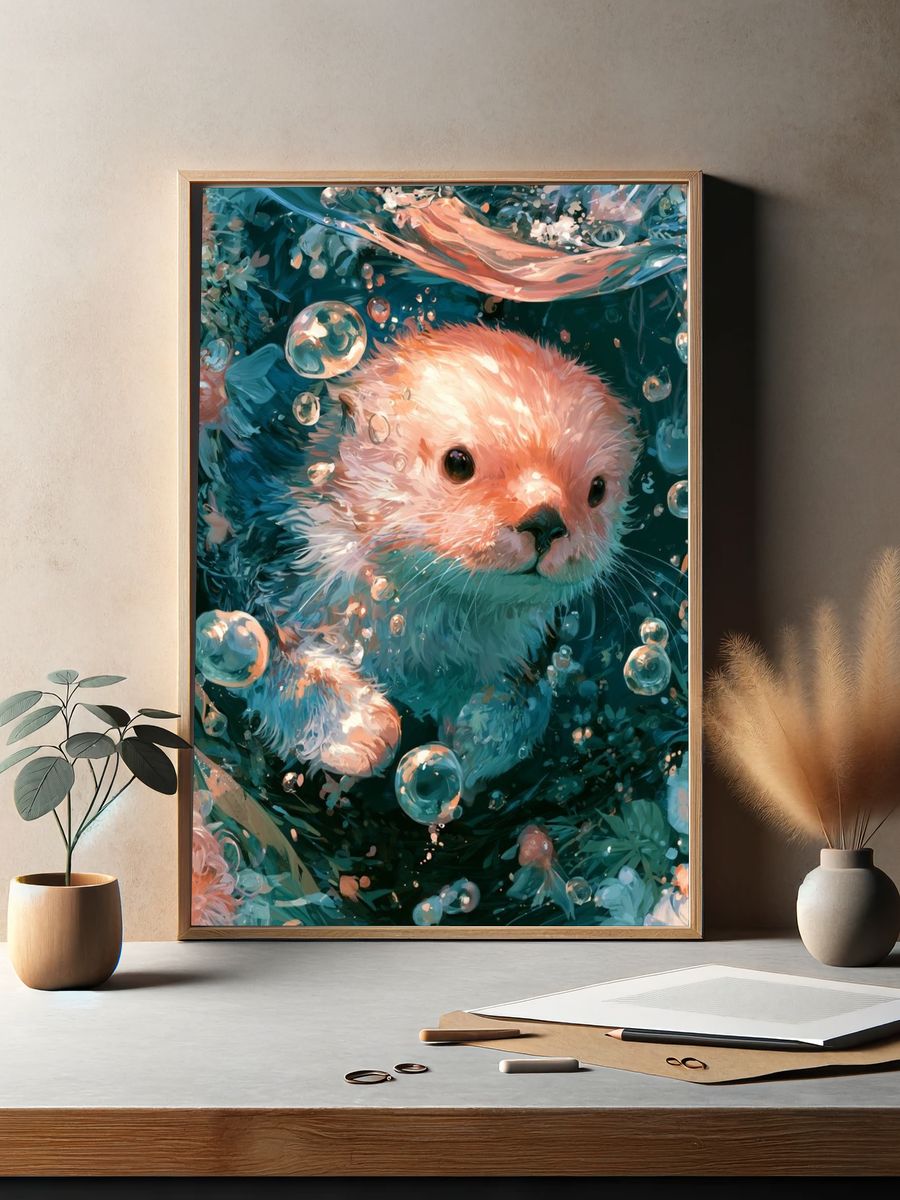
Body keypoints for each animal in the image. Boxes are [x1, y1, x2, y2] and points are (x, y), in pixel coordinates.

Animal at [227, 323, 638, 787]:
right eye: (458, 462)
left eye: (597, 489)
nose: (546, 522)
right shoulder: (271, 568)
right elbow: (273, 660)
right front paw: (362, 730)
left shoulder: (528, 645)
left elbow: (526, 698)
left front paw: (476, 738)